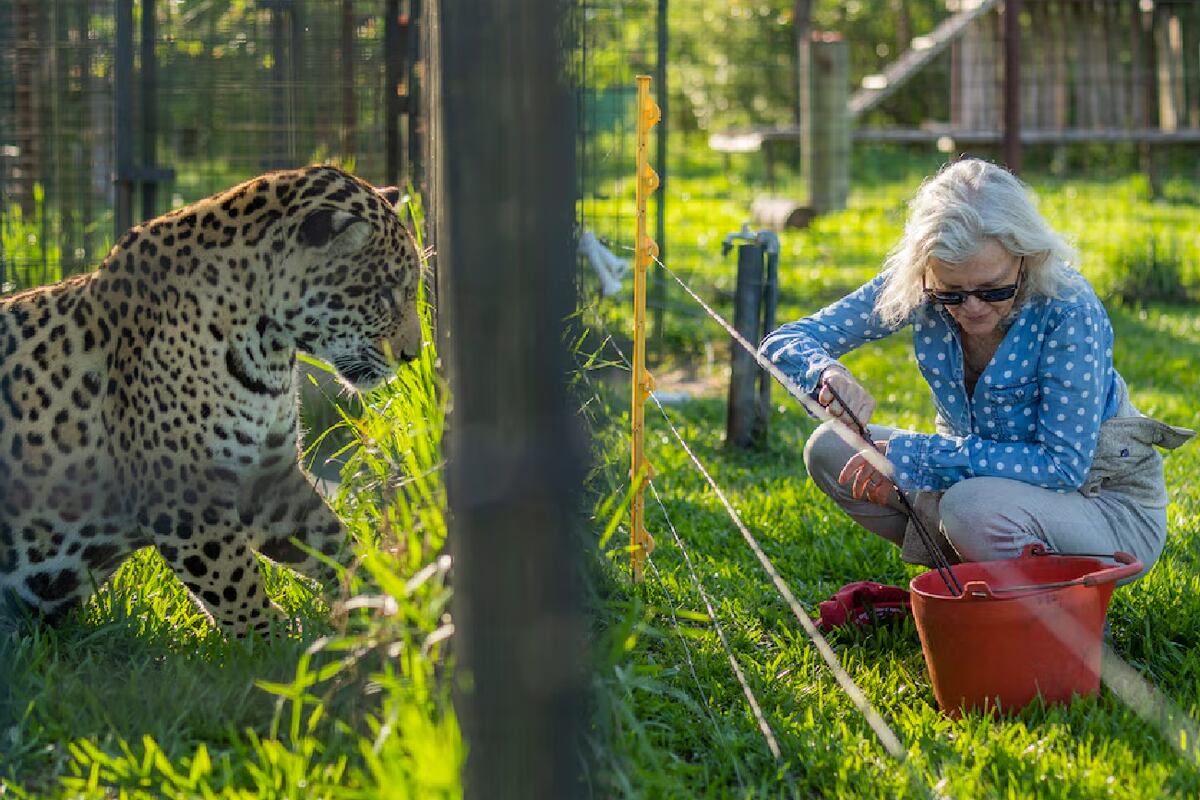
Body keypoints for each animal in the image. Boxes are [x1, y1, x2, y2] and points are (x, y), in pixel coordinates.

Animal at [0, 165, 423, 637]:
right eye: (385, 292)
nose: (413, 354)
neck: (270, 347)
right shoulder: (185, 495)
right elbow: (237, 582)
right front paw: (278, 641)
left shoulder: (269, 479)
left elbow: (333, 542)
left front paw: (386, 600)